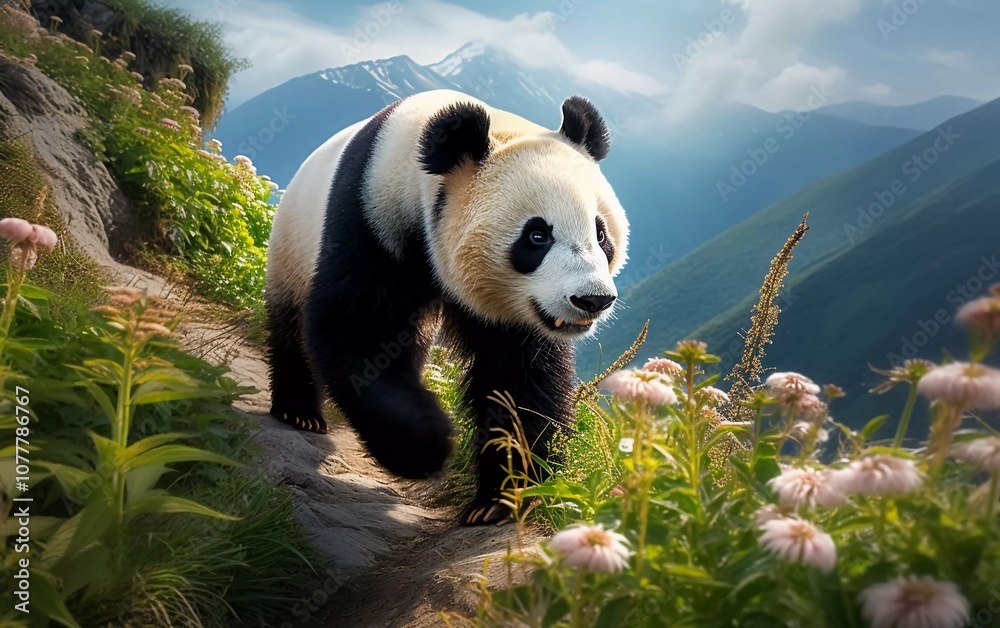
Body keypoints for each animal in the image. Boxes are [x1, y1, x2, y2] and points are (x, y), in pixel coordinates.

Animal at [264, 89, 628, 525]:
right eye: (537, 236)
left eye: (601, 233)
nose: (592, 299)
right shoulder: (368, 217)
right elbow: (357, 330)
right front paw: (424, 447)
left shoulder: (511, 311)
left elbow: (517, 378)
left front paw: (506, 494)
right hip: (292, 244)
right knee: (290, 324)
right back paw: (298, 412)